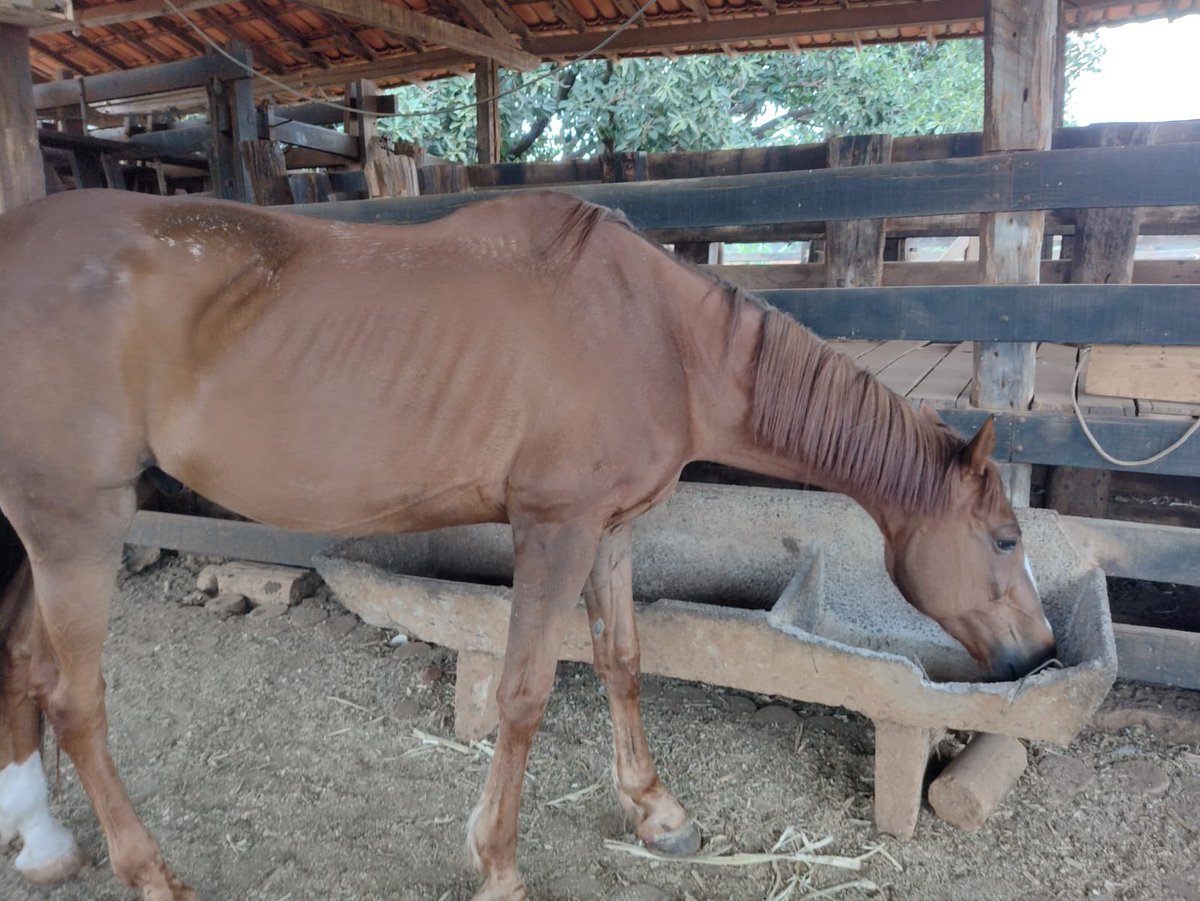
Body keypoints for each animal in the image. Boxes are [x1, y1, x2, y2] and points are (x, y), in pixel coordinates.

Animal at [0, 188, 1054, 900]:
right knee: (75, 697)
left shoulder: (611, 531)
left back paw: (41, 838)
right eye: (1005, 538)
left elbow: (623, 659)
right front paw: (499, 862)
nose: (1038, 653)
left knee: (21, 663)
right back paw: (150, 871)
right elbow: (524, 693)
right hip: (76, 525)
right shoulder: (555, 528)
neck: (657, 335)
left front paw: (656, 810)